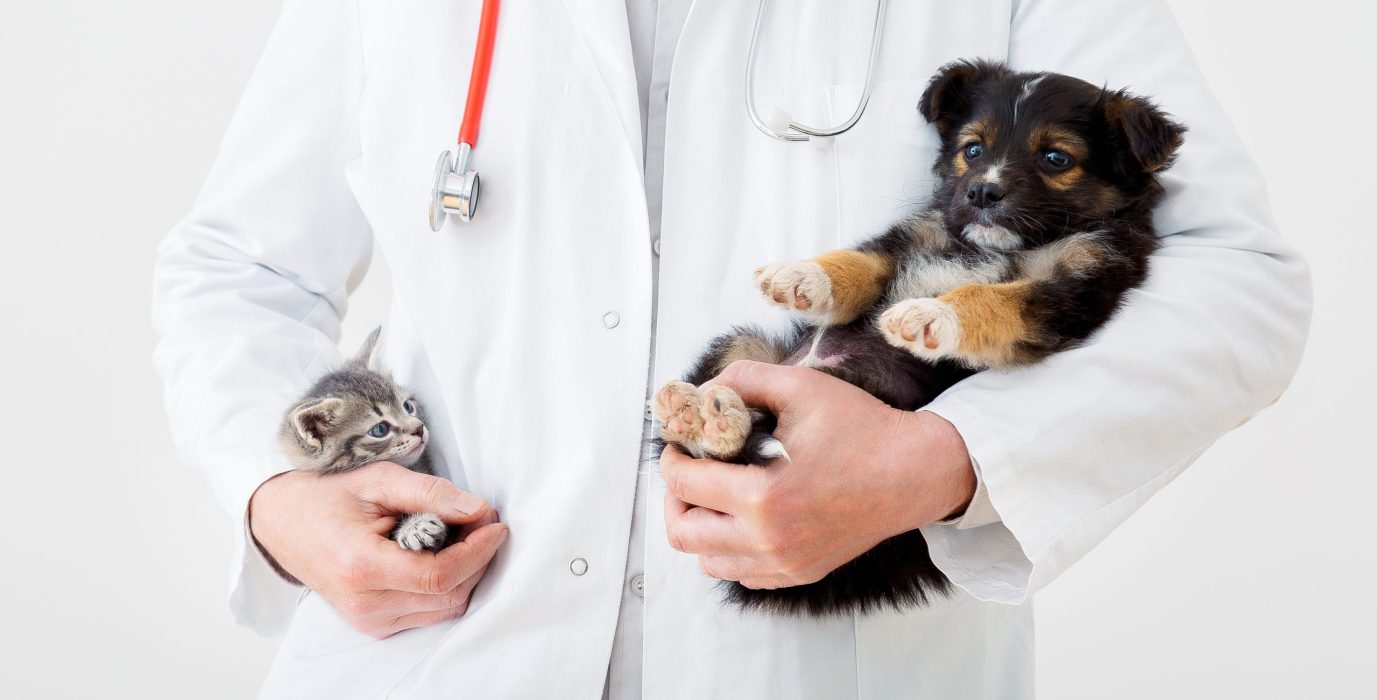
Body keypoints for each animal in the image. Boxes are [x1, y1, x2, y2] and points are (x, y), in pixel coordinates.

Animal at [652, 61, 1184, 617]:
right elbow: (861, 264)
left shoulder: (1072, 291)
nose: (981, 193)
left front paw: (935, 315)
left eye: (1056, 158)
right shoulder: (908, 242)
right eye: (973, 149)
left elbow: (992, 298)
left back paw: (716, 423)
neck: (997, 247)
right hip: (746, 348)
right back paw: (695, 414)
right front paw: (804, 277)